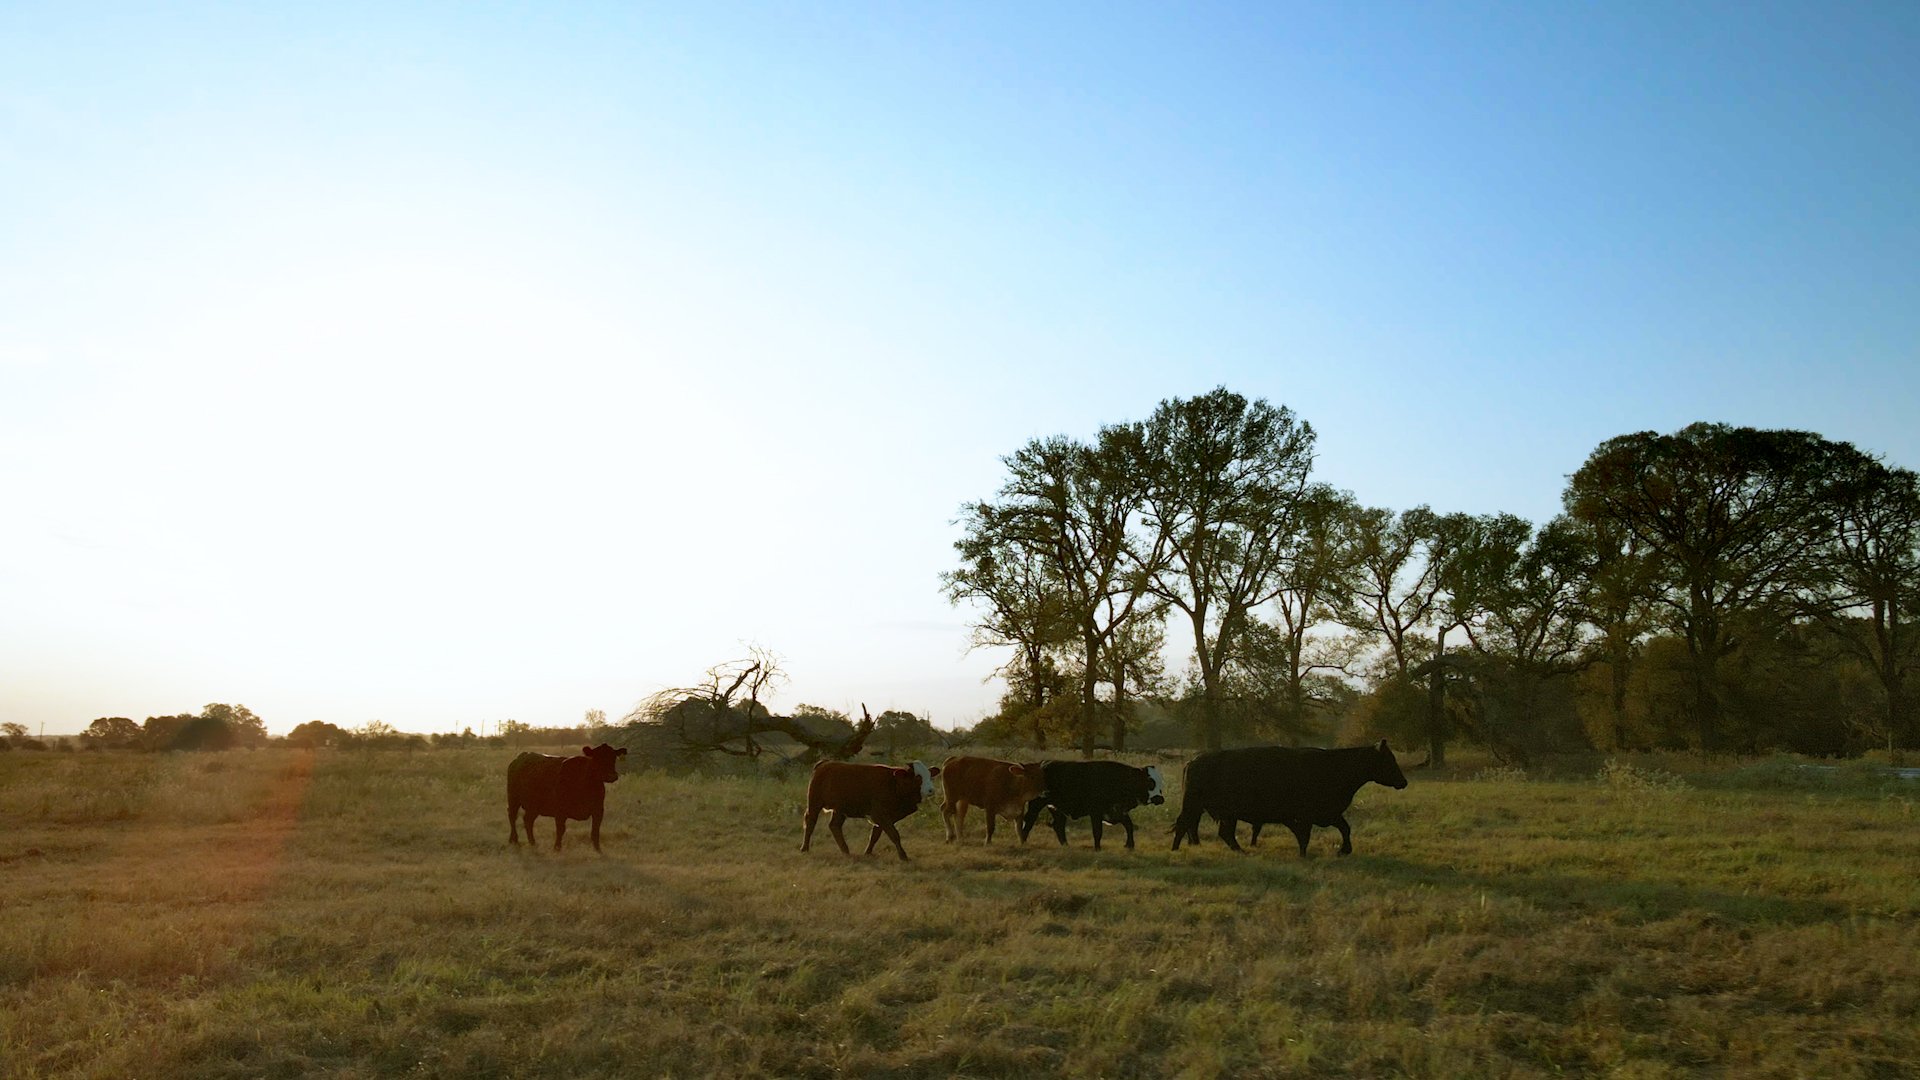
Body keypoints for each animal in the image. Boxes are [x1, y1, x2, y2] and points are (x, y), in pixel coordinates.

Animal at [801, 759, 941, 861]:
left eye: (930, 776)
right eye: (918, 777)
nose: (931, 790)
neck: (894, 783)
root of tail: (825, 763)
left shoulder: (884, 818)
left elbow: (875, 835)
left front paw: (867, 853)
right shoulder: (879, 814)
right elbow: (894, 835)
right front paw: (903, 856)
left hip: (840, 809)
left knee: (834, 826)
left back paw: (846, 851)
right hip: (814, 803)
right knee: (810, 823)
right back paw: (805, 848)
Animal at [1017, 760, 1165, 850]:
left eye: (1161, 783)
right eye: (1150, 782)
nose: (1160, 799)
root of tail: (1041, 764)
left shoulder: (1117, 811)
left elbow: (1129, 826)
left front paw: (1130, 845)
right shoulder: (1096, 812)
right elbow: (1098, 832)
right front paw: (1098, 849)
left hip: (1056, 808)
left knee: (1058, 826)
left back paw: (1066, 845)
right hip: (1036, 804)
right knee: (1029, 821)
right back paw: (1023, 841)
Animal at [1170, 740, 1408, 856]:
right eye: (1389, 759)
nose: (1403, 782)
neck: (1335, 766)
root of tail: (1193, 761)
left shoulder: (1330, 814)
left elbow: (1345, 828)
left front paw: (1344, 850)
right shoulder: (1306, 816)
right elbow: (1305, 836)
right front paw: (1304, 854)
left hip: (1221, 813)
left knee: (1220, 833)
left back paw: (1239, 850)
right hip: (1196, 806)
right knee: (1185, 825)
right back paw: (1175, 850)